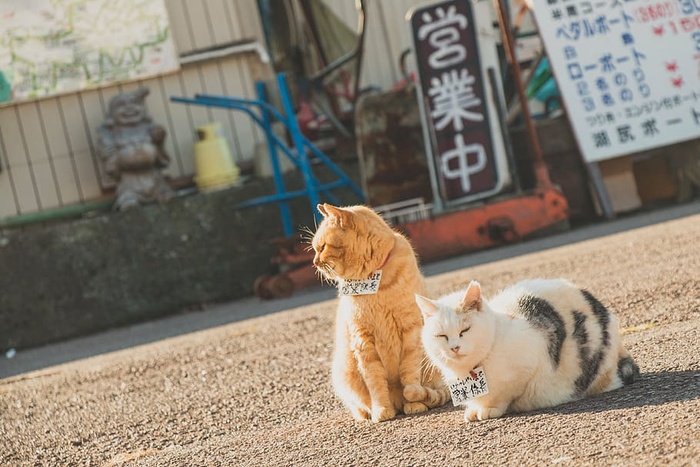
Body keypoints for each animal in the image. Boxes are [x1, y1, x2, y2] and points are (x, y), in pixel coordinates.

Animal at [312, 203, 448, 422]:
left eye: (322, 247)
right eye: (315, 249)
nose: (314, 262)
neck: (375, 282)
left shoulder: (411, 330)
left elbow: (410, 373)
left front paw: (414, 402)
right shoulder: (363, 340)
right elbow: (375, 382)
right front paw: (382, 410)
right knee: (360, 403)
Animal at [416, 280, 640, 422]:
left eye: (465, 330)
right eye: (441, 336)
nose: (454, 347)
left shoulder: (527, 367)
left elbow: (503, 395)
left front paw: (488, 409)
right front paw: (474, 409)